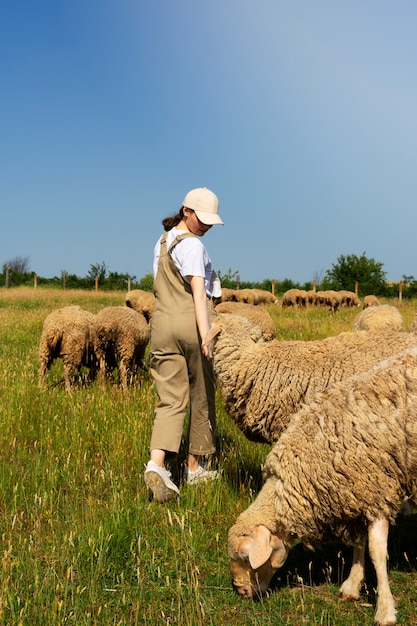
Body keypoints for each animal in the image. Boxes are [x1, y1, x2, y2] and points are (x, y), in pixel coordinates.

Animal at [226, 344, 416, 620]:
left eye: (245, 556)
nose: (240, 591)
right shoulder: (353, 494)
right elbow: (358, 543)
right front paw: (352, 585)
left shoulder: (377, 490)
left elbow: (377, 552)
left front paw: (385, 609)